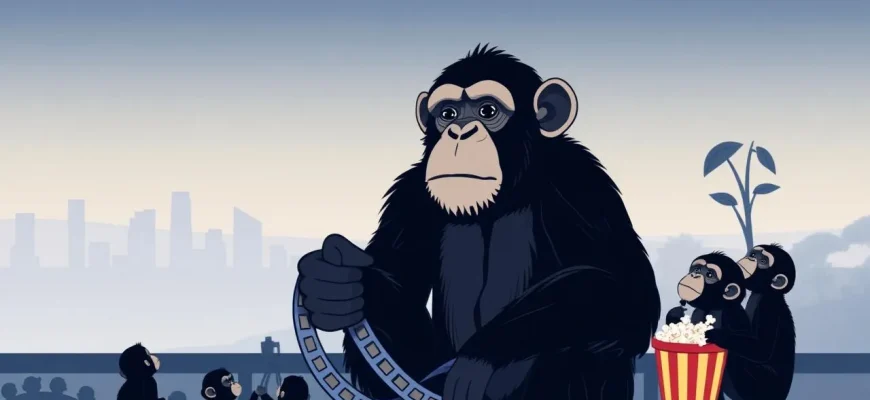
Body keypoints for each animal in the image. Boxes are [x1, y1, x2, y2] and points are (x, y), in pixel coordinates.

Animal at [296, 44, 661, 400]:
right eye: (448, 114)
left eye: (487, 111)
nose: (459, 132)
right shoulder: (408, 196)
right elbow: (398, 285)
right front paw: (334, 286)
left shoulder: (584, 184)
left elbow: (628, 289)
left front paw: (479, 359)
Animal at [705, 244, 797, 400]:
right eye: (753, 254)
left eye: (763, 261)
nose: (751, 258)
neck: (767, 291)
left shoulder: (768, 306)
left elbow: (761, 349)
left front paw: (714, 334)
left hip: (762, 386)